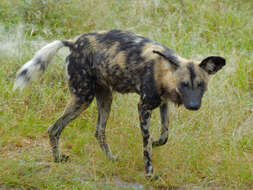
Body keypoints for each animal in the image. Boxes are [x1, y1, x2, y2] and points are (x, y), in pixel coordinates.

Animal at [14, 29, 225, 177]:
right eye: (184, 84)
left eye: (201, 85)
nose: (193, 106)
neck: (162, 72)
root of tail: (74, 42)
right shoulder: (143, 107)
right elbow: (146, 145)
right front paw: (149, 173)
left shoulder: (163, 104)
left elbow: (165, 135)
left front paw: (156, 142)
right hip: (83, 98)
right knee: (54, 128)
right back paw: (57, 159)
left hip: (105, 98)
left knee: (99, 131)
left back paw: (111, 159)